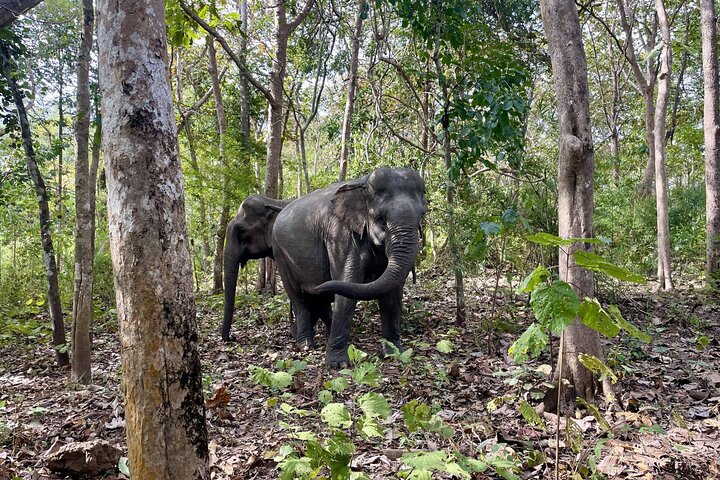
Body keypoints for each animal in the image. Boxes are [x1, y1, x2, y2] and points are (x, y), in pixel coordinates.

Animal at [272, 167, 427, 368]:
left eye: (421, 215)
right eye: (381, 218)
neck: (363, 183)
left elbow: (391, 294)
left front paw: (395, 353)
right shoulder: (339, 236)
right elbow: (347, 284)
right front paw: (338, 364)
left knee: (319, 298)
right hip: (280, 255)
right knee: (298, 298)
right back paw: (306, 345)